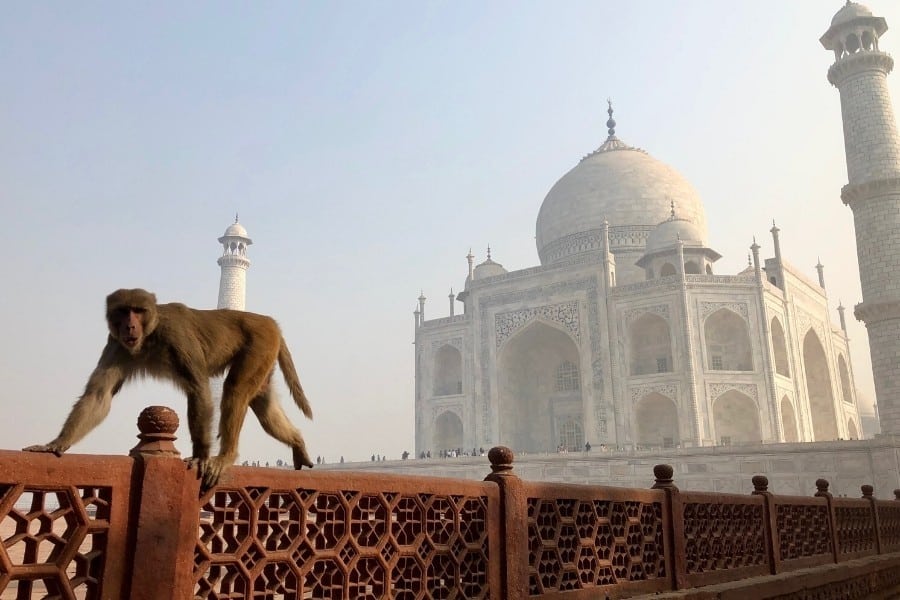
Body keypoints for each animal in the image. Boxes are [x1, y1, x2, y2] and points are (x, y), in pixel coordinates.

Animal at [23, 288, 314, 489]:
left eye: (138, 310)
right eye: (122, 310)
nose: (129, 324)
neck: (150, 334)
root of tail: (270, 321)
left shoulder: (176, 336)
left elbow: (198, 388)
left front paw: (201, 456)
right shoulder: (117, 344)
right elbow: (98, 396)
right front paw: (57, 443)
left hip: (260, 342)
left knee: (235, 391)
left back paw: (225, 457)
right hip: (265, 352)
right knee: (263, 406)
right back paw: (298, 442)